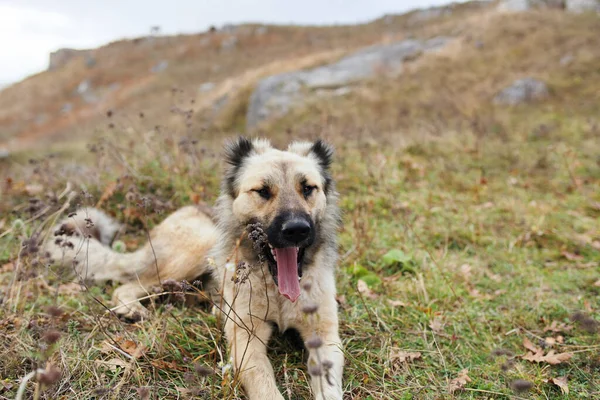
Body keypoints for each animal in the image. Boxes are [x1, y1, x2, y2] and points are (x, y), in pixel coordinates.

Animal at [45, 138, 346, 400]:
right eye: (262, 191)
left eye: (307, 188)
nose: (296, 229)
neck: (276, 289)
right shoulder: (245, 340)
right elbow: (263, 383)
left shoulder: (326, 338)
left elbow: (329, 385)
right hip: (196, 252)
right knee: (129, 284)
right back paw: (132, 308)